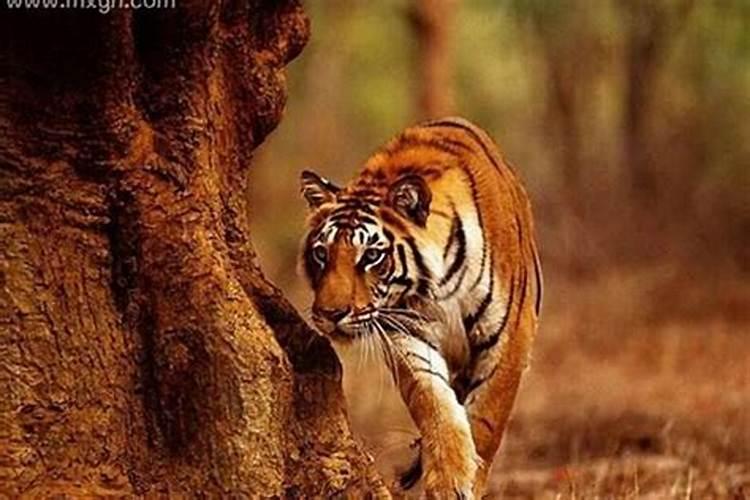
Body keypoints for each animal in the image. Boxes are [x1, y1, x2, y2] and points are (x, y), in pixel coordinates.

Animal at [299, 117, 542, 499]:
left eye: (372, 256)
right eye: (322, 253)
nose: (330, 315)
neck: (438, 285)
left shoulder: (509, 337)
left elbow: (486, 420)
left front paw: (470, 482)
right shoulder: (405, 331)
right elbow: (435, 405)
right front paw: (448, 480)